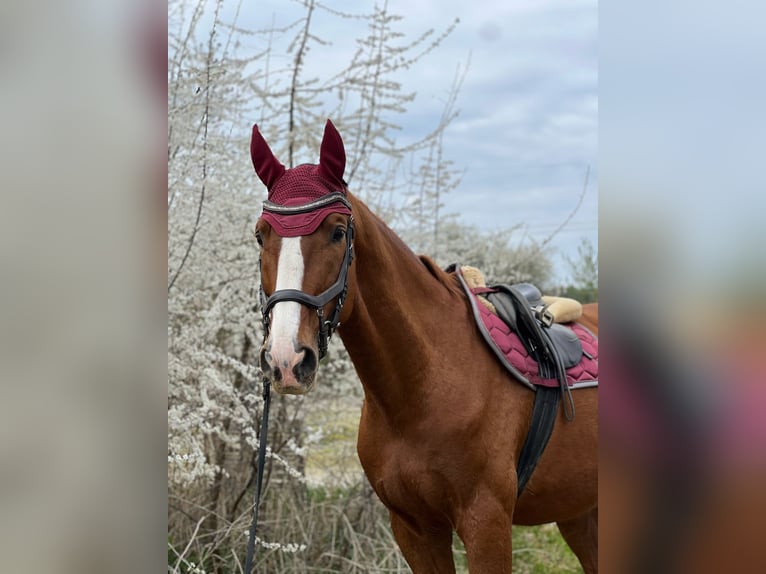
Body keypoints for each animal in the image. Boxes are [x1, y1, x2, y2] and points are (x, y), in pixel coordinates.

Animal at [251, 120, 598, 573]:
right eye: (261, 236)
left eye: (338, 232)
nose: (287, 359)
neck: (423, 388)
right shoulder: (413, 529)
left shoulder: (486, 523)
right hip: (580, 513)